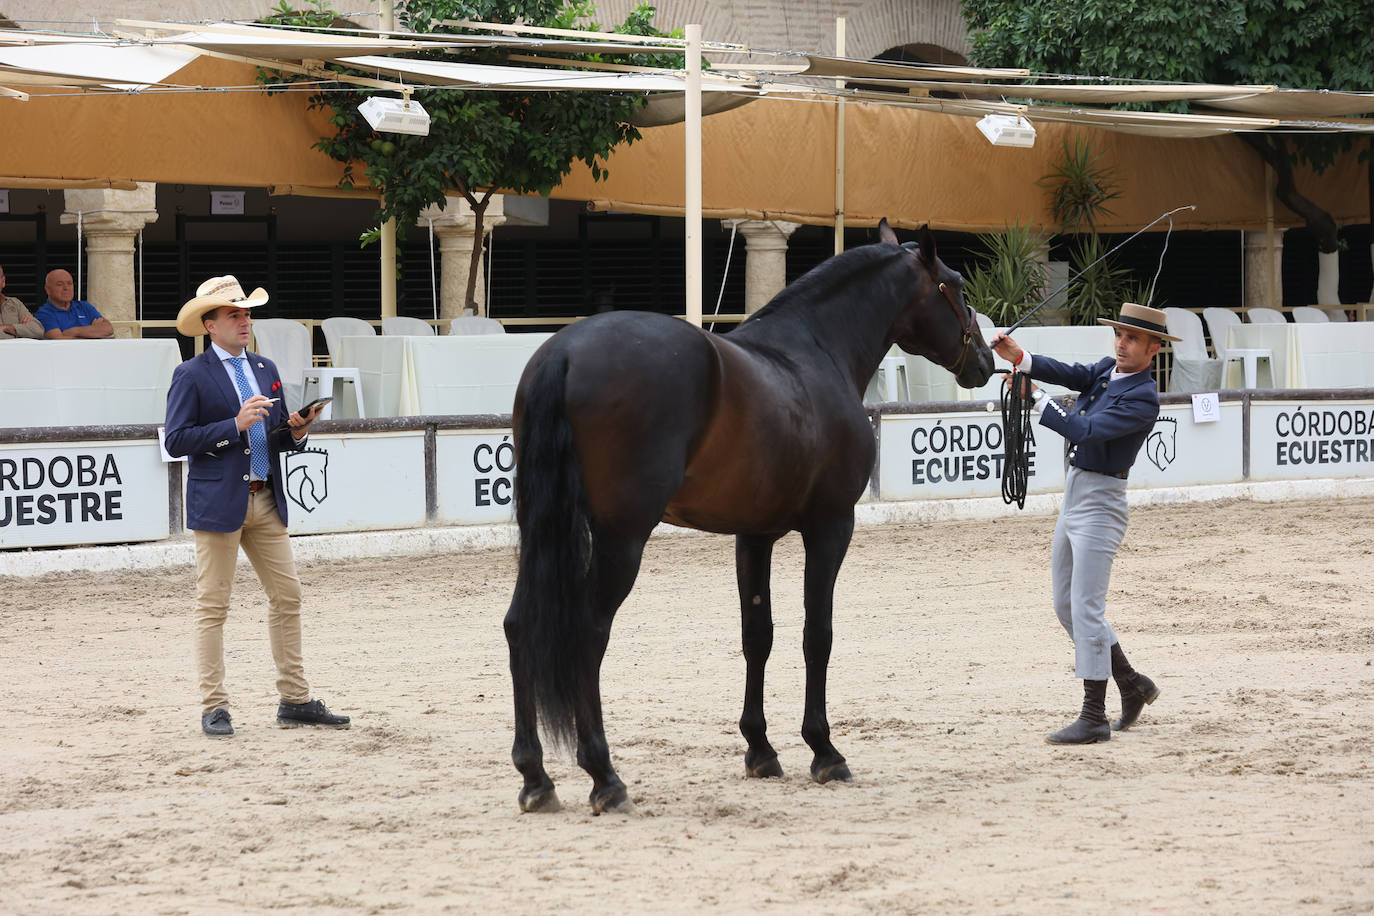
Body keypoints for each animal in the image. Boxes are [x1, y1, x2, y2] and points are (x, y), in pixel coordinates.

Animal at [500, 222, 994, 818]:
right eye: (956, 286)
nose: (987, 361)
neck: (816, 352)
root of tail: (565, 351)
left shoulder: (753, 535)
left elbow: (757, 634)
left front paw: (760, 749)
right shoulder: (830, 527)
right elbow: (817, 634)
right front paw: (825, 751)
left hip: (544, 532)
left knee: (519, 625)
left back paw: (535, 776)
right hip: (621, 538)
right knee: (588, 634)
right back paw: (604, 775)